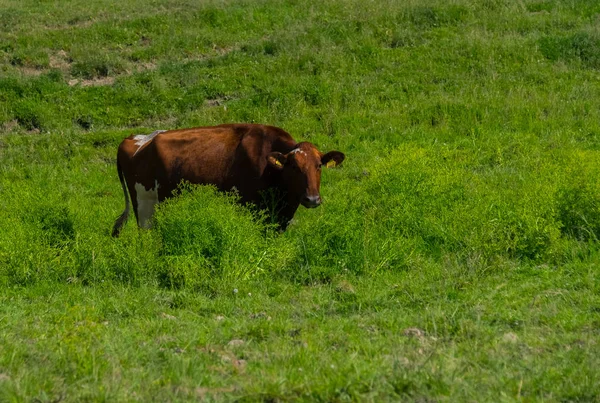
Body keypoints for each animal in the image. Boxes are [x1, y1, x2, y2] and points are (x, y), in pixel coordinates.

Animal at [112, 124, 344, 237]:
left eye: (319, 165)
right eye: (294, 167)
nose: (312, 199)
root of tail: (134, 138)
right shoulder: (251, 206)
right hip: (144, 204)